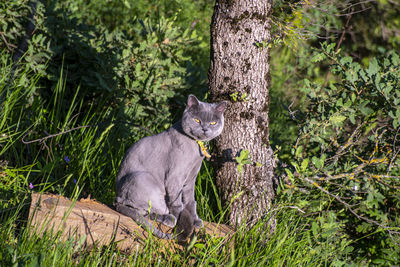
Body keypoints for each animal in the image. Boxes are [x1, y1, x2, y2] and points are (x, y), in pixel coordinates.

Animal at [114, 95, 227, 242]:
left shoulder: (191, 178)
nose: (205, 129)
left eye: (213, 123)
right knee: (139, 209)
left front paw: (195, 220)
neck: (196, 151)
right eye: (197, 120)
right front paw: (182, 221)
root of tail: (116, 199)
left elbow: (190, 200)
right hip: (141, 179)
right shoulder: (174, 177)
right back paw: (169, 218)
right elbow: (177, 203)